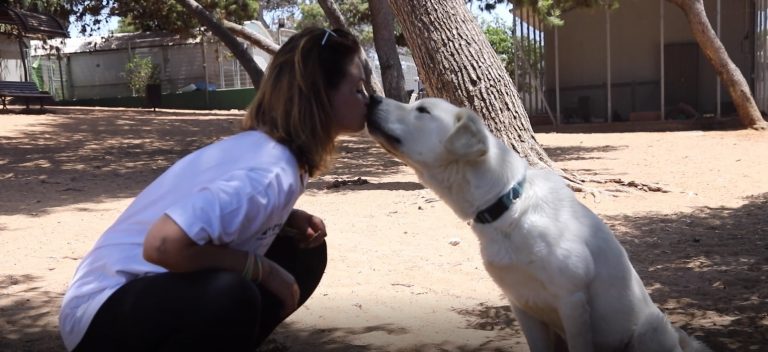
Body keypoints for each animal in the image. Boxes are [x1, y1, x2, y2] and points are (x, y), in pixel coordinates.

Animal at [366, 97, 708, 352]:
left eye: (422, 110)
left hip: (649, 329)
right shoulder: (523, 304)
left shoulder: (572, 300)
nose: (371, 98)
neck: (507, 206)